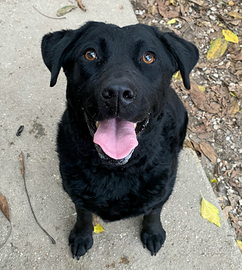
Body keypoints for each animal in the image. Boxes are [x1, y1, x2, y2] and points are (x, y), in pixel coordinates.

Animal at [41, 22, 199, 260]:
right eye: (90, 54)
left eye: (148, 57)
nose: (117, 93)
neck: (115, 171)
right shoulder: (76, 194)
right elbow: (83, 214)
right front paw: (82, 236)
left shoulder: (163, 189)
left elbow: (154, 211)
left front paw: (153, 232)